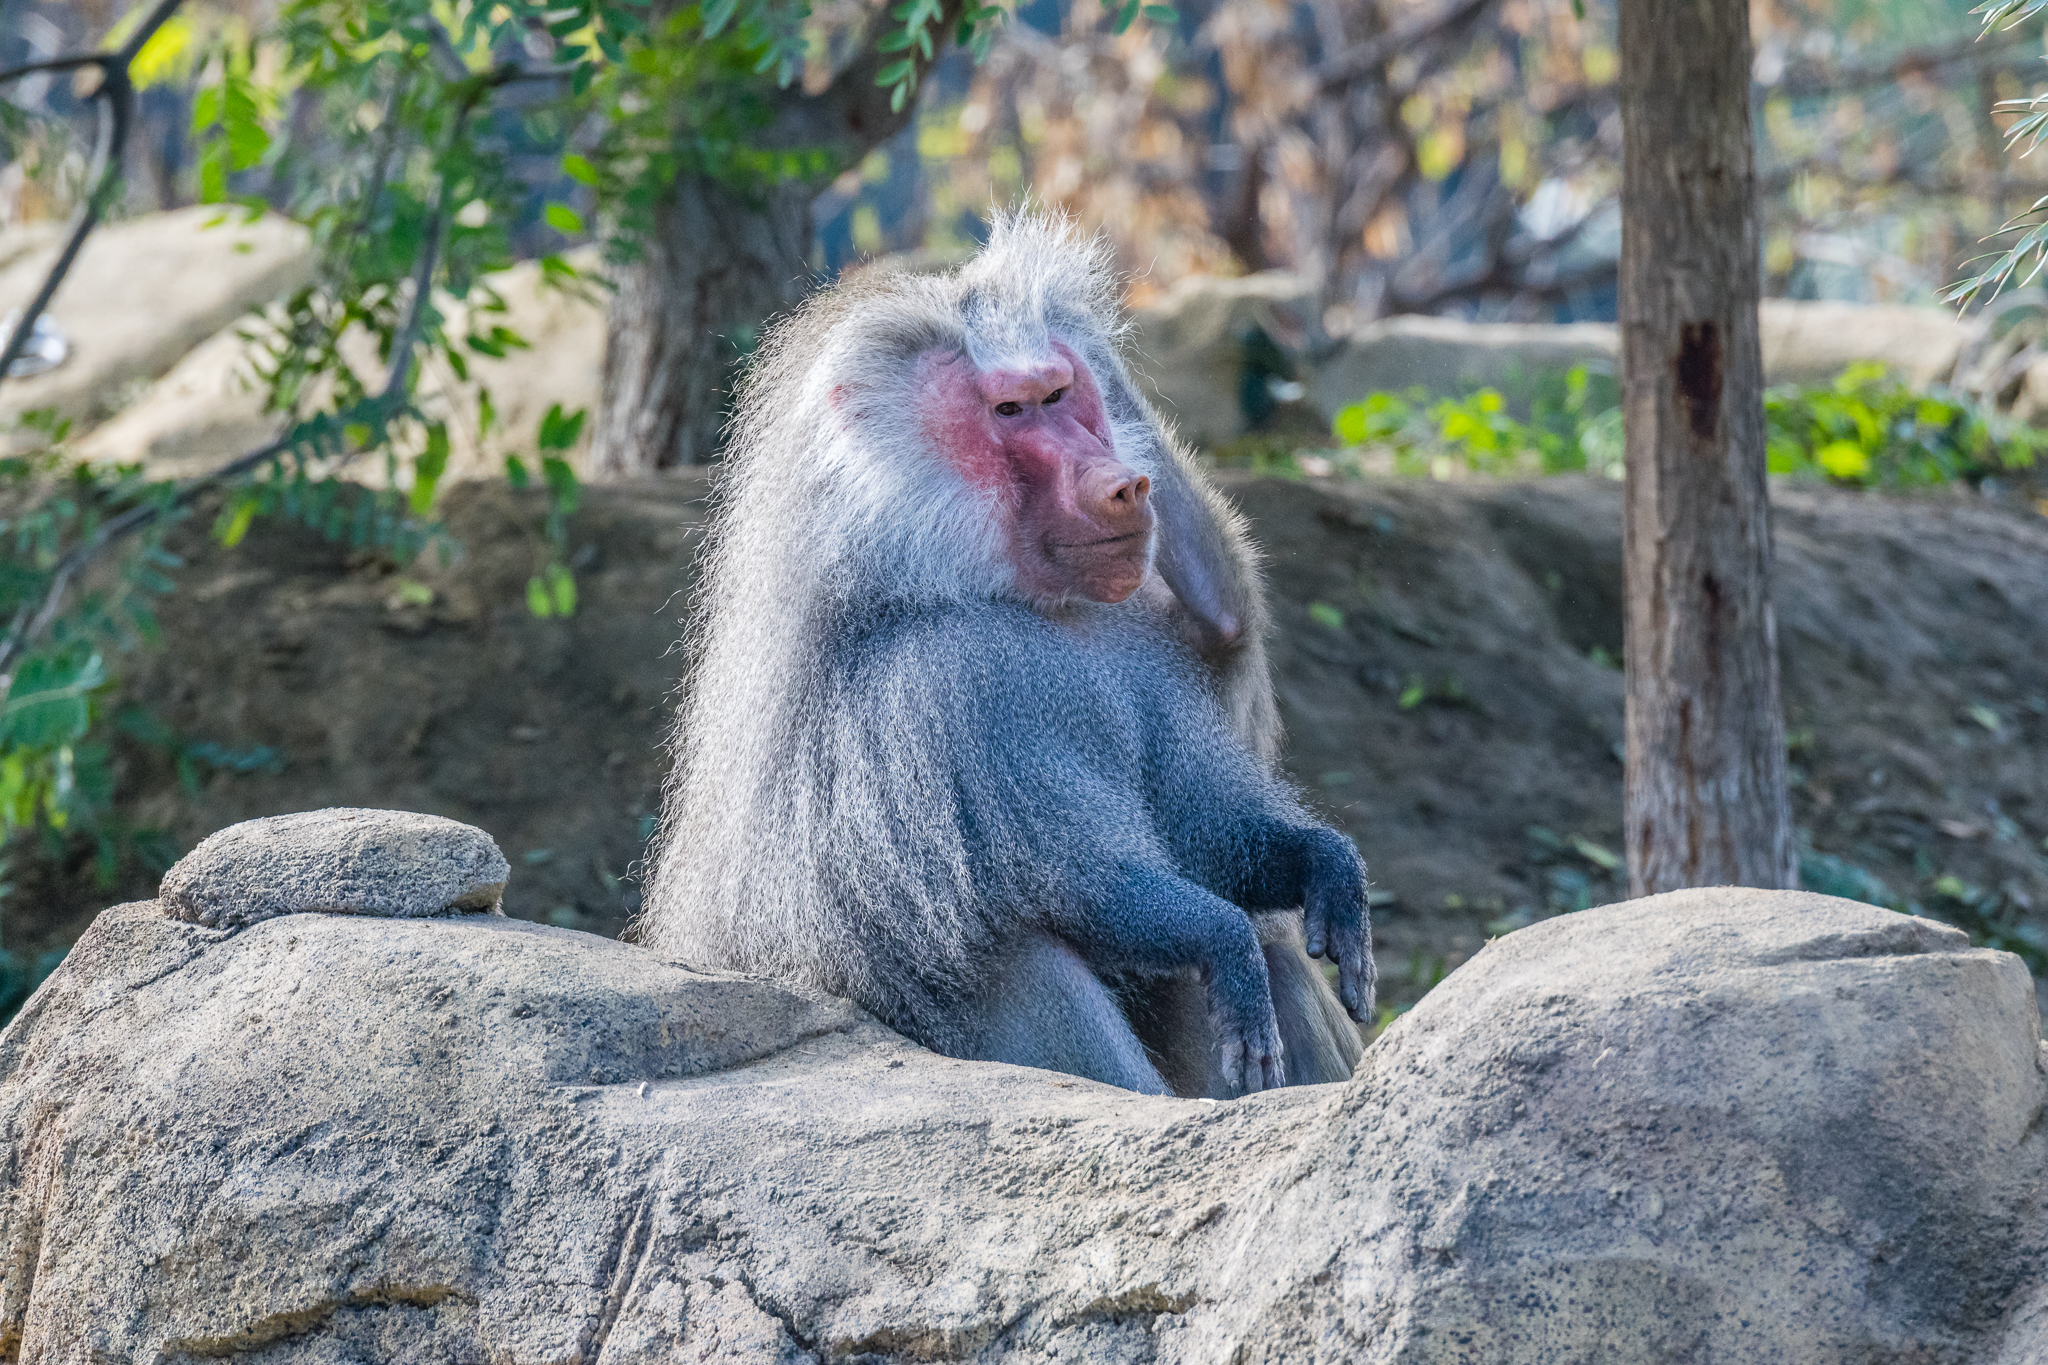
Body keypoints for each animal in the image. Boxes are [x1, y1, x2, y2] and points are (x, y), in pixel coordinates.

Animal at [638, 213, 1373, 1096]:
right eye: (1012, 409)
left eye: (1060, 394)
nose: (1126, 485)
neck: (1017, 600)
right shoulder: (946, 685)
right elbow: (1081, 881)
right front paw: (1223, 943)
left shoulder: (1137, 656)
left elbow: (1208, 833)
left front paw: (1327, 868)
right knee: (1026, 962)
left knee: (1273, 960)